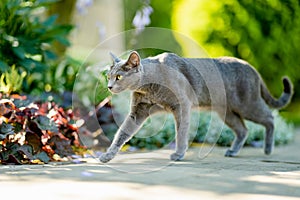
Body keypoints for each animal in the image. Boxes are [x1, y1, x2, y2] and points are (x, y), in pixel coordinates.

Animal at [99, 50, 292, 163]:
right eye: (108, 76)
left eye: (119, 77)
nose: (109, 86)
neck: (148, 87)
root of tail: (252, 68)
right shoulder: (138, 111)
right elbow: (121, 134)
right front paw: (107, 155)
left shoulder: (182, 105)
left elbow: (181, 132)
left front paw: (178, 154)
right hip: (227, 112)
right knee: (243, 129)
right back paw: (233, 151)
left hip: (248, 104)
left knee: (270, 118)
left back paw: (268, 148)